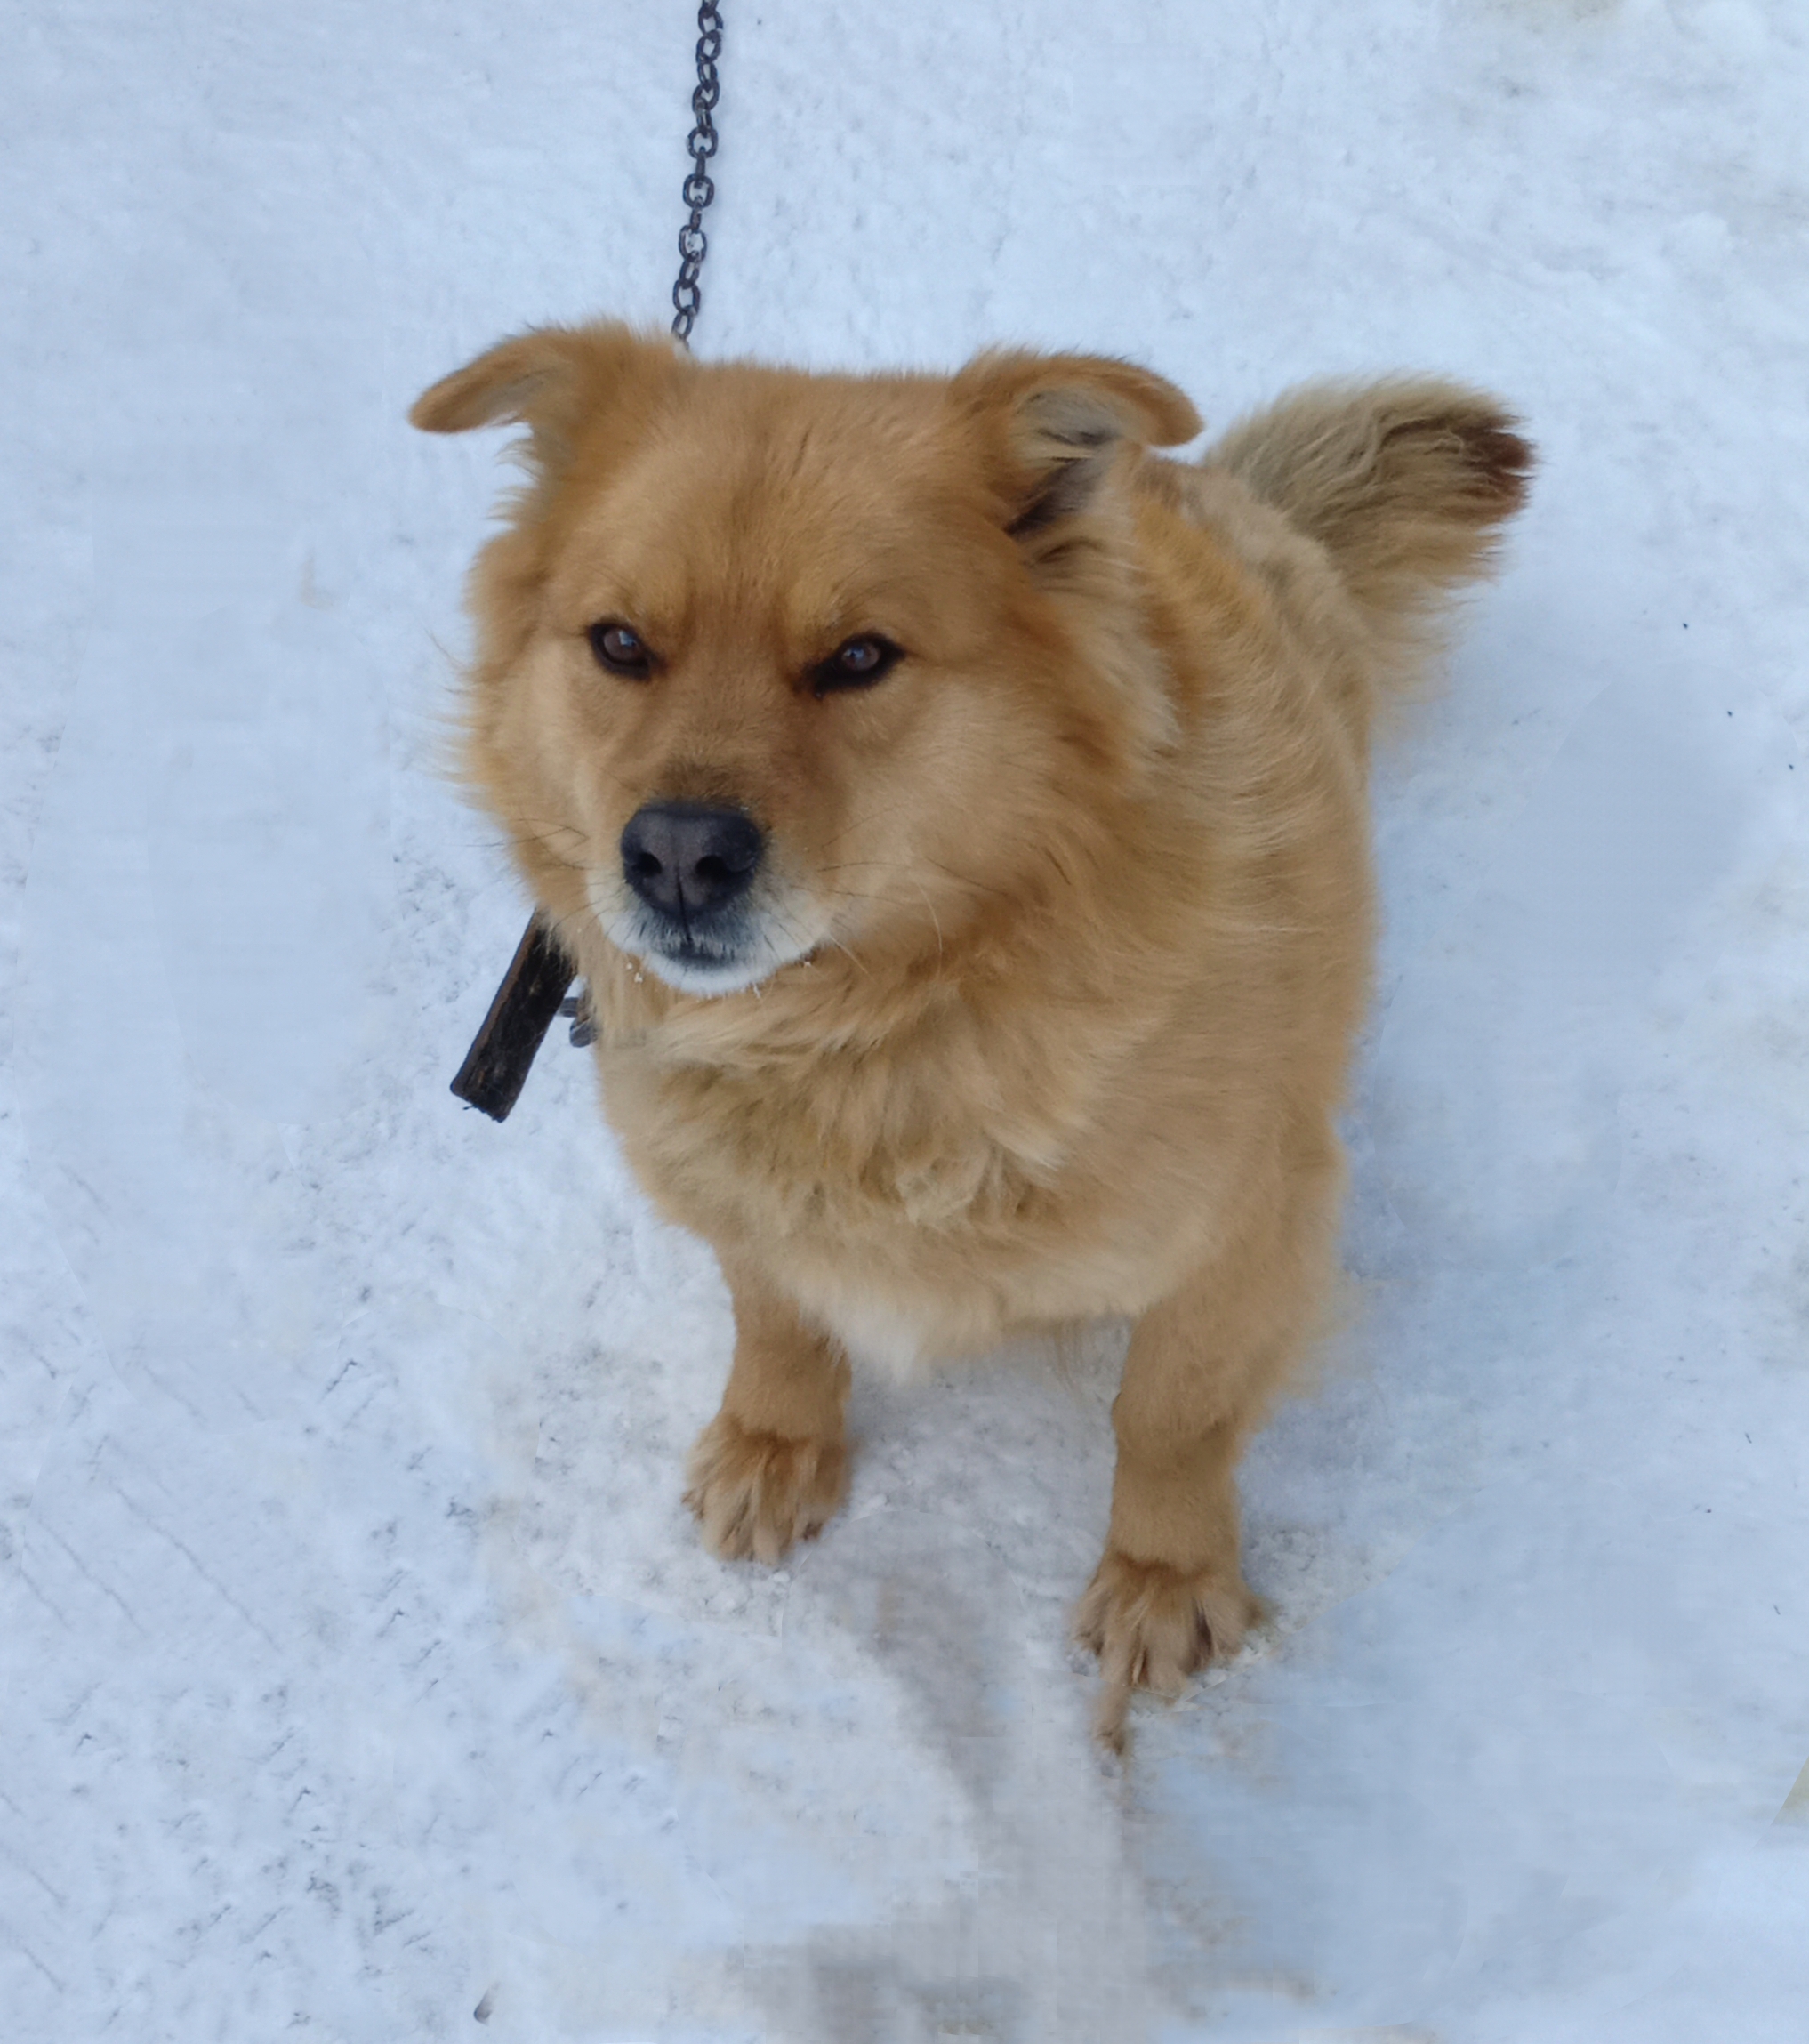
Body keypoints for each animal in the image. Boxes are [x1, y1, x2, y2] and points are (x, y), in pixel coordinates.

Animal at [412, 325, 1529, 1745]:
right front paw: (778, 1438)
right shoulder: (741, 1194)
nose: (673, 857)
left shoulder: (1245, 1230)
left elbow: (1170, 1414)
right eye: (618, 644)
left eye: (858, 658)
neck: (884, 1025)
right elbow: (774, 1310)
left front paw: (1164, 1571)